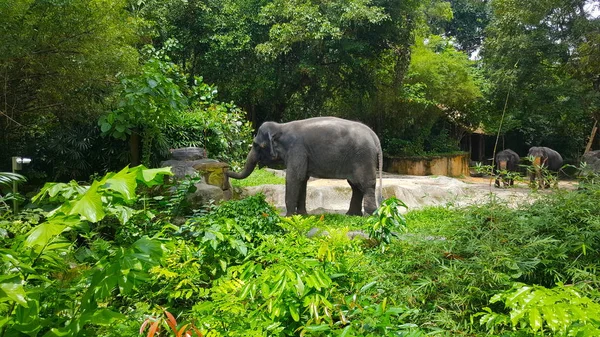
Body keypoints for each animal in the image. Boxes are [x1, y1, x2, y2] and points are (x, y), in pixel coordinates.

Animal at [225, 115, 384, 215]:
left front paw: (288, 217)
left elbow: (294, 178)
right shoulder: (302, 154)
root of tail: (375, 137)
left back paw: (370, 215)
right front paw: (302, 215)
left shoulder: (297, 149)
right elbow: (302, 179)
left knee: (365, 185)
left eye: (256, 145)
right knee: (355, 186)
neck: (281, 127)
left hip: (363, 157)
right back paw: (351, 215)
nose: (226, 171)